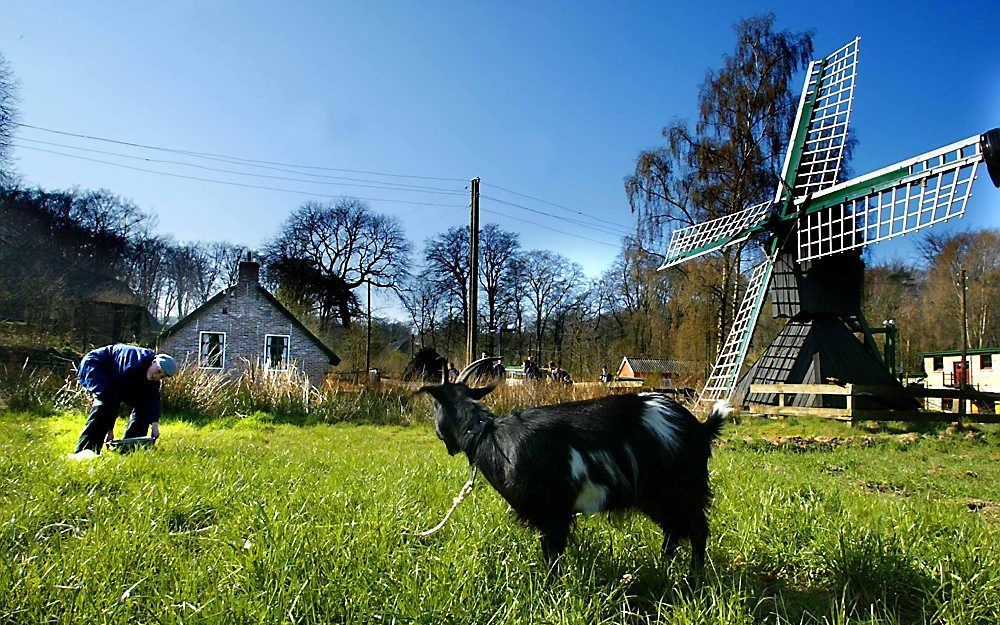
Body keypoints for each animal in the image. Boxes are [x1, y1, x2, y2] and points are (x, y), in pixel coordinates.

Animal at [418, 356, 732, 572]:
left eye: (434, 406)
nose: (442, 439)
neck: (488, 435)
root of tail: (700, 428)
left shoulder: (555, 511)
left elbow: (552, 556)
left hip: (682, 490)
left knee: (697, 530)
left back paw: (694, 576)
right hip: (655, 497)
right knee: (673, 531)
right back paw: (664, 567)